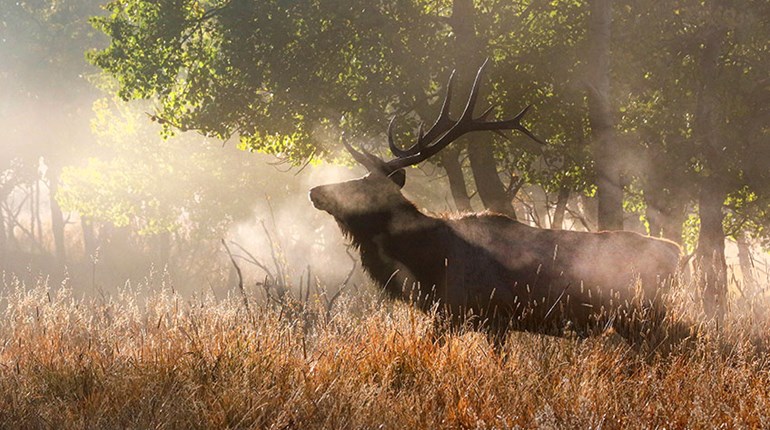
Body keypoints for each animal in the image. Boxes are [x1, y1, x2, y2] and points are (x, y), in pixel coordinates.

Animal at [309, 61, 684, 348]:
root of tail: (675, 252)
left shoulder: (482, 314)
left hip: (642, 315)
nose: (315, 191)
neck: (428, 264)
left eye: (361, 185)